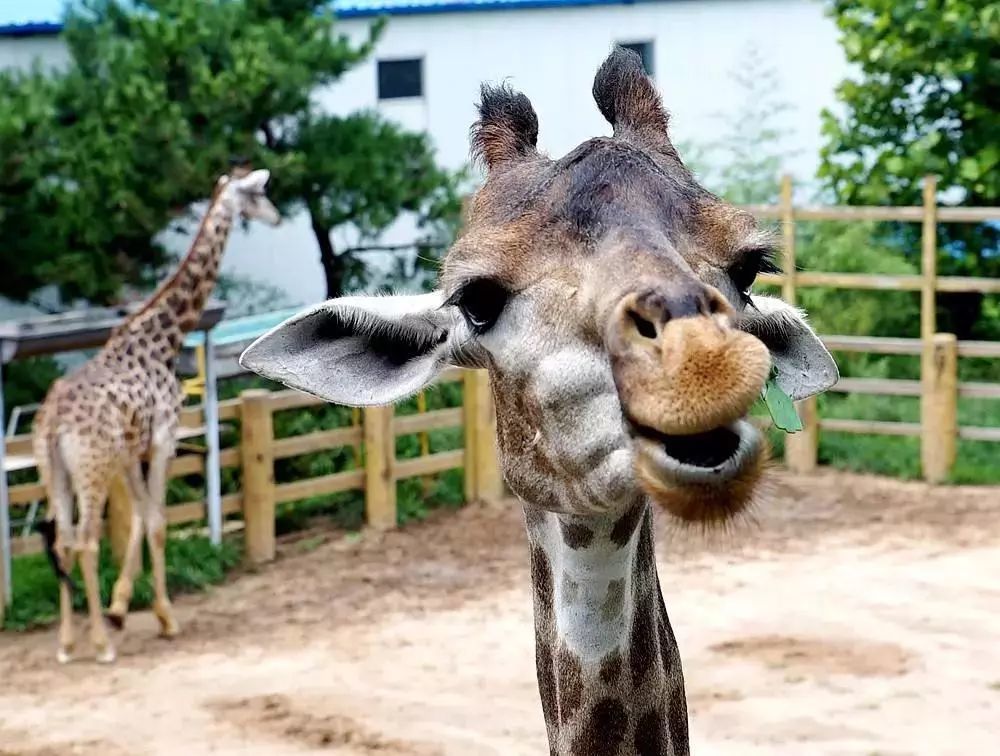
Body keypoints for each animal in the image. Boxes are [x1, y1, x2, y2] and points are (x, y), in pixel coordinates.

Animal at [33, 165, 280, 660]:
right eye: (260, 193)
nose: (278, 217)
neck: (164, 340)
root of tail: (50, 425)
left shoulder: (133, 451)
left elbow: (142, 519)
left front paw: (125, 607)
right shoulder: (164, 438)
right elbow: (159, 523)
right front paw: (163, 618)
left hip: (56, 473)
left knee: (65, 540)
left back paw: (68, 642)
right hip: (91, 468)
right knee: (86, 541)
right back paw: (100, 644)